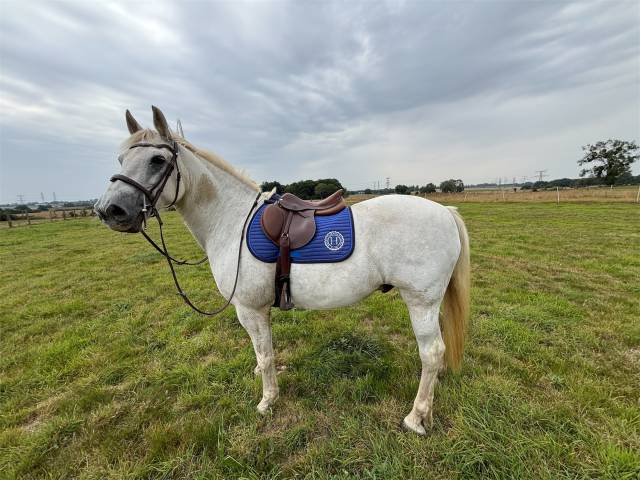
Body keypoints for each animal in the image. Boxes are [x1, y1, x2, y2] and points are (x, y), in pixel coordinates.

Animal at [94, 106, 470, 435]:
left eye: (157, 160)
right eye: (121, 159)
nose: (109, 210)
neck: (232, 221)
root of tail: (445, 211)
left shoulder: (250, 310)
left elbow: (265, 354)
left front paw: (267, 400)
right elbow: (263, 354)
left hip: (420, 302)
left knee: (431, 354)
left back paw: (417, 417)